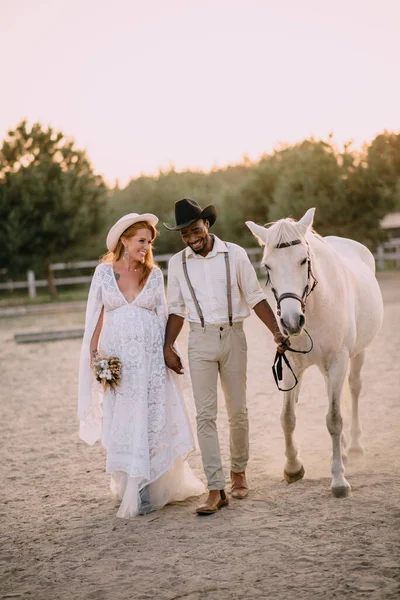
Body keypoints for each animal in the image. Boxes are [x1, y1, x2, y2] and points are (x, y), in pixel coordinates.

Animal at [247, 207, 384, 496]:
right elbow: (287, 418)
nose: (290, 321)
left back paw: (354, 447)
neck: (315, 308)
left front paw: (339, 481)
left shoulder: (339, 360)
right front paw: (292, 468)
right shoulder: (291, 365)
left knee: (354, 389)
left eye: (303, 260)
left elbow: (334, 419)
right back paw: (343, 450)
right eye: (267, 266)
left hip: (357, 354)